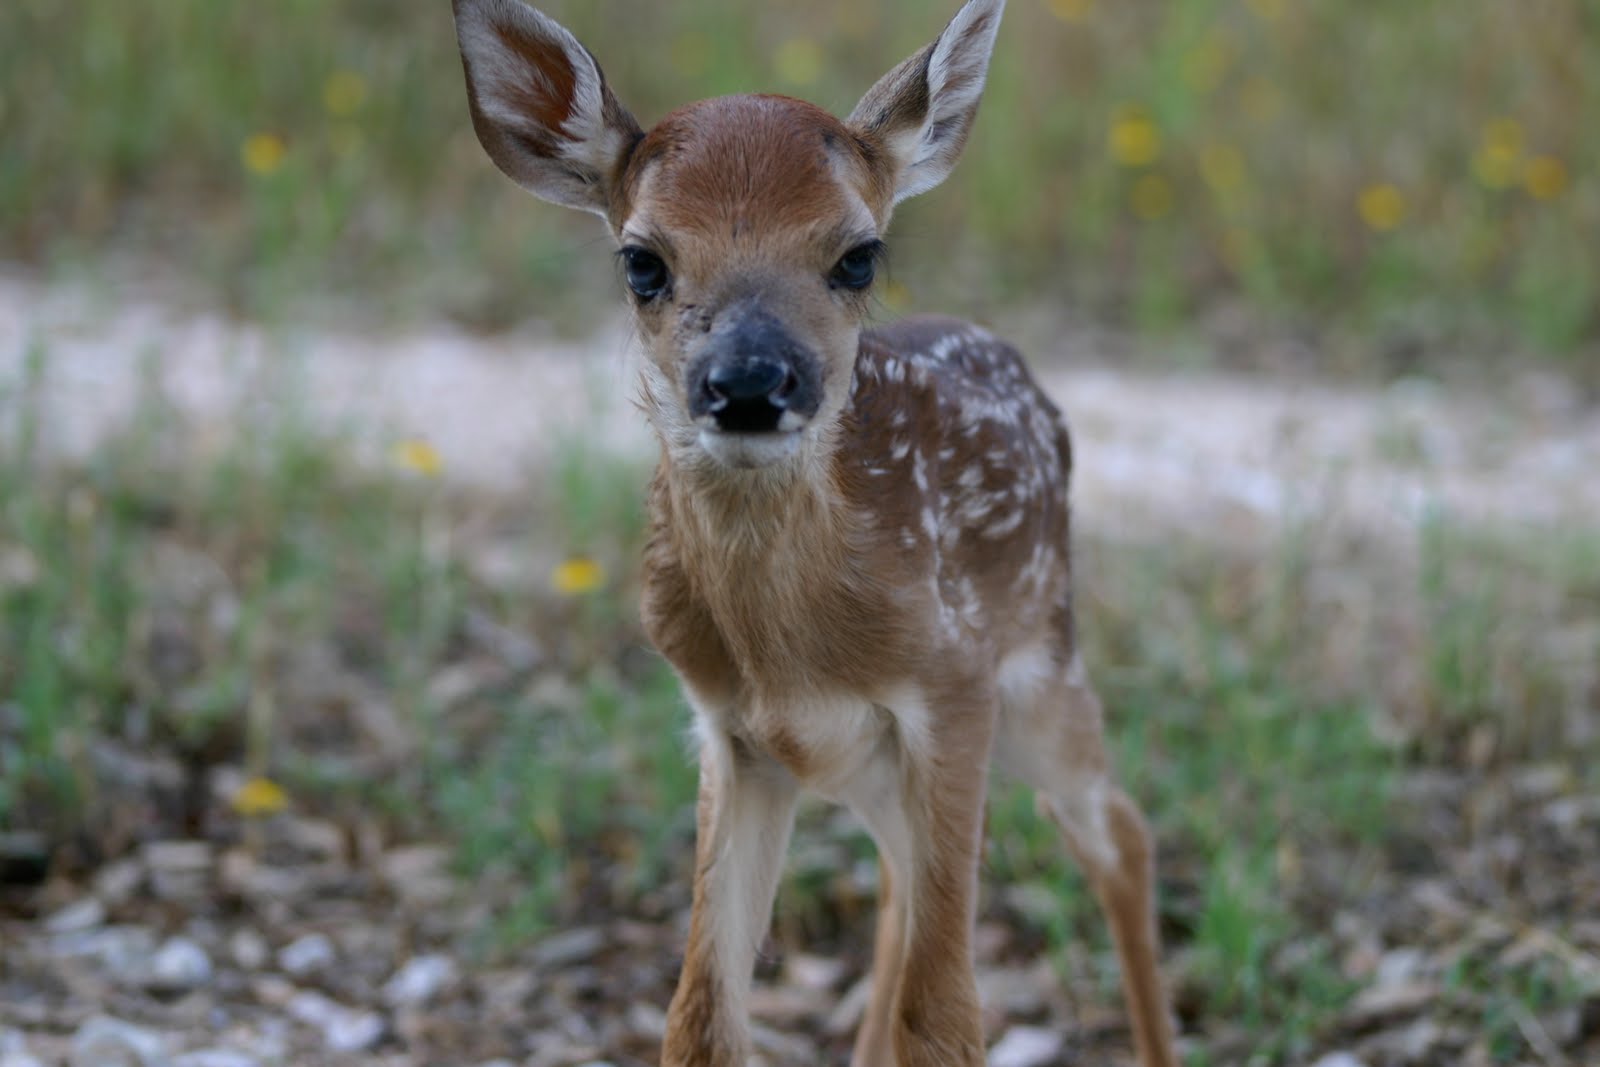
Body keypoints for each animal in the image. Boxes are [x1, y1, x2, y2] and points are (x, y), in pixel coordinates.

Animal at [457, 2, 1184, 1067]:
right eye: (642, 261)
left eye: (858, 255)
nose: (751, 383)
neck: (789, 651)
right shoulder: (731, 732)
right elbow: (699, 1016)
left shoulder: (952, 686)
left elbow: (945, 1012)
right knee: (898, 879)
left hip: (1042, 659)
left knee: (1116, 831)